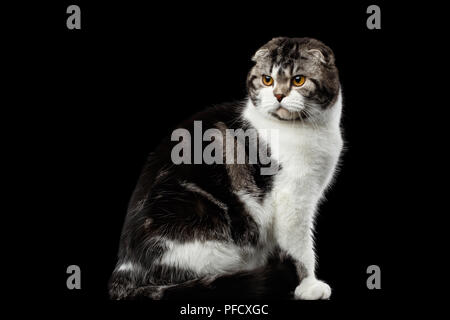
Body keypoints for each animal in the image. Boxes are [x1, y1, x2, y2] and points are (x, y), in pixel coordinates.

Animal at [110, 37, 344, 300]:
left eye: (298, 80)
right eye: (267, 80)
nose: (278, 95)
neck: (310, 130)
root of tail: (126, 268)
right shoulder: (293, 200)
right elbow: (301, 248)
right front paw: (308, 286)